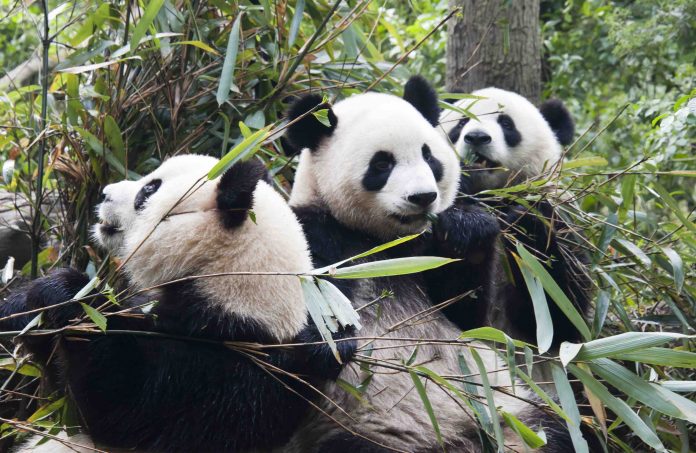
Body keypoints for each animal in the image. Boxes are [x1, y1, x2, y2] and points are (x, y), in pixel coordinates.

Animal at [4, 154, 354, 452]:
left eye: (148, 189)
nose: (103, 194)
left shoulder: (229, 368)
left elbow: (122, 409)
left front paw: (68, 293)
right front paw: (23, 306)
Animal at [278, 76, 572, 450]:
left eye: (429, 156)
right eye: (382, 164)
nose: (423, 197)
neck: (385, 240)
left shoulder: (425, 250)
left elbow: (469, 317)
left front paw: (468, 229)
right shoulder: (317, 234)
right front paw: (329, 339)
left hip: (519, 415)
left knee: (563, 428)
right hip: (364, 431)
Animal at [438, 86, 588, 344]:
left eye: (507, 124)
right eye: (461, 122)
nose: (476, 137)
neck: (492, 195)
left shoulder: (563, 223)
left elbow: (562, 317)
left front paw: (525, 222)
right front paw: (468, 227)